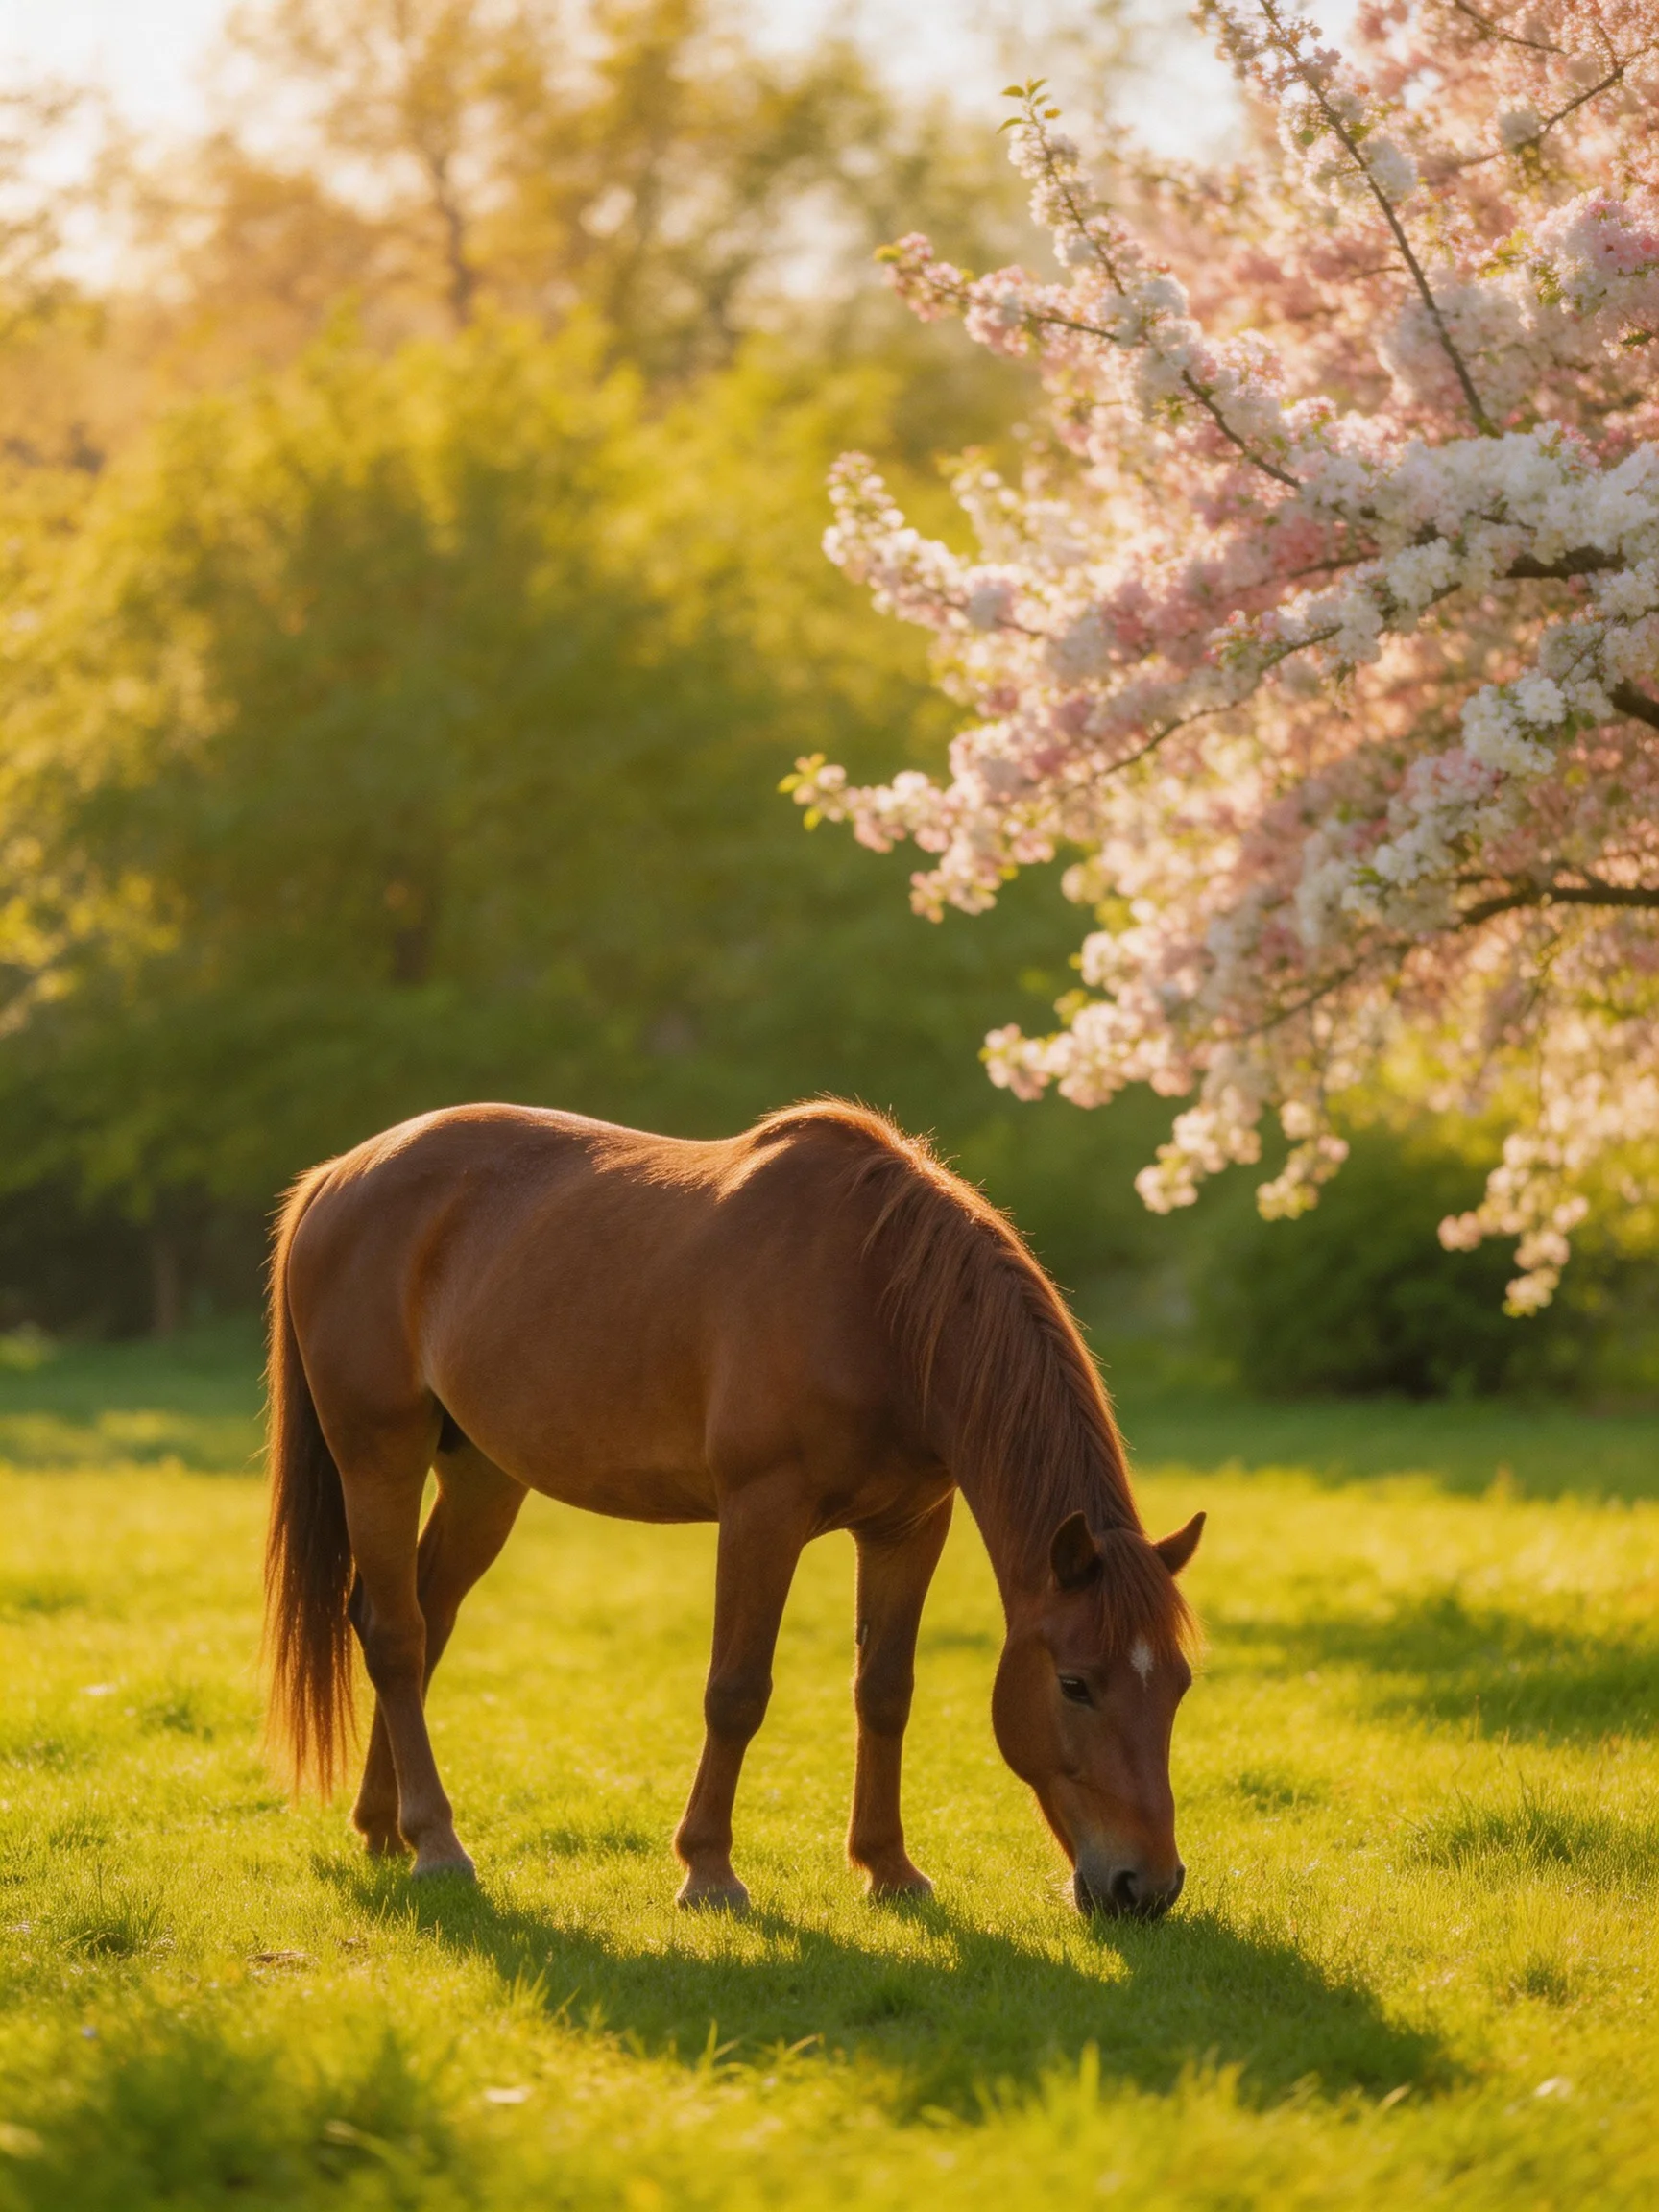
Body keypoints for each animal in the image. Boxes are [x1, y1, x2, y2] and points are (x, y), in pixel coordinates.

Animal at [264, 1100, 1203, 1918]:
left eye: (1181, 1685)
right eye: (1075, 1684)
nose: (1146, 1888)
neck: (873, 1299)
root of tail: (337, 1178)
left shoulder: (908, 1528)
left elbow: (884, 1691)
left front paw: (889, 1868)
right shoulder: (763, 1513)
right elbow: (737, 1690)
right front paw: (709, 1872)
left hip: (483, 1480)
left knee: (421, 1624)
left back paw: (383, 1825)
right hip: (377, 1455)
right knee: (396, 1636)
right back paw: (436, 1844)